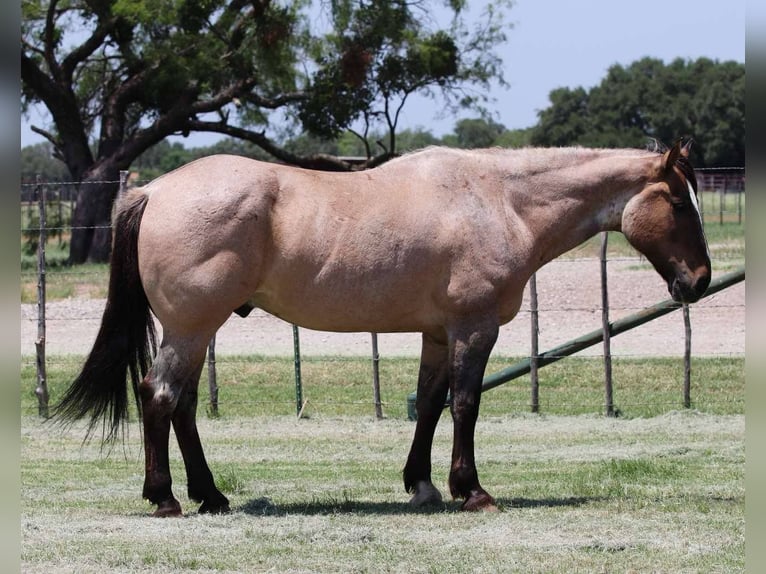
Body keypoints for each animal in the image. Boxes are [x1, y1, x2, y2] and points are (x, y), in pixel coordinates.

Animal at [56, 140, 710, 516]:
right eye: (680, 204)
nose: (699, 280)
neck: (499, 202)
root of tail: (154, 189)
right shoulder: (474, 328)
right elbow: (466, 404)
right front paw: (471, 490)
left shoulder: (439, 333)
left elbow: (430, 403)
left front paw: (421, 486)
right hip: (191, 327)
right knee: (160, 396)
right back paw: (166, 498)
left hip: (197, 330)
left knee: (184, 405)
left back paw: (210, 496)